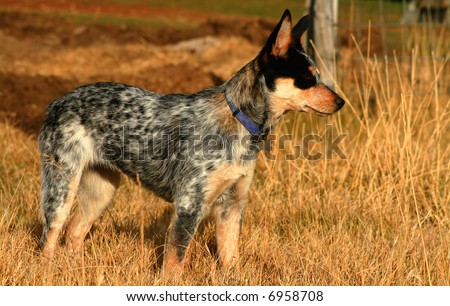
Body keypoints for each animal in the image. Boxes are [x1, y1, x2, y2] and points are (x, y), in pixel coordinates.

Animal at [37, 10, 344, 272]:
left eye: (317, 76)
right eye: (307, 79)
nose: (341, 101)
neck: (238, 121)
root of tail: (56, 102)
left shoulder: (231, 206)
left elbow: (230, 259)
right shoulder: (189, 205)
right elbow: (175, 262)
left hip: (101, 191)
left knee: (74, 232)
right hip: (61, 189)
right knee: (48, 240)